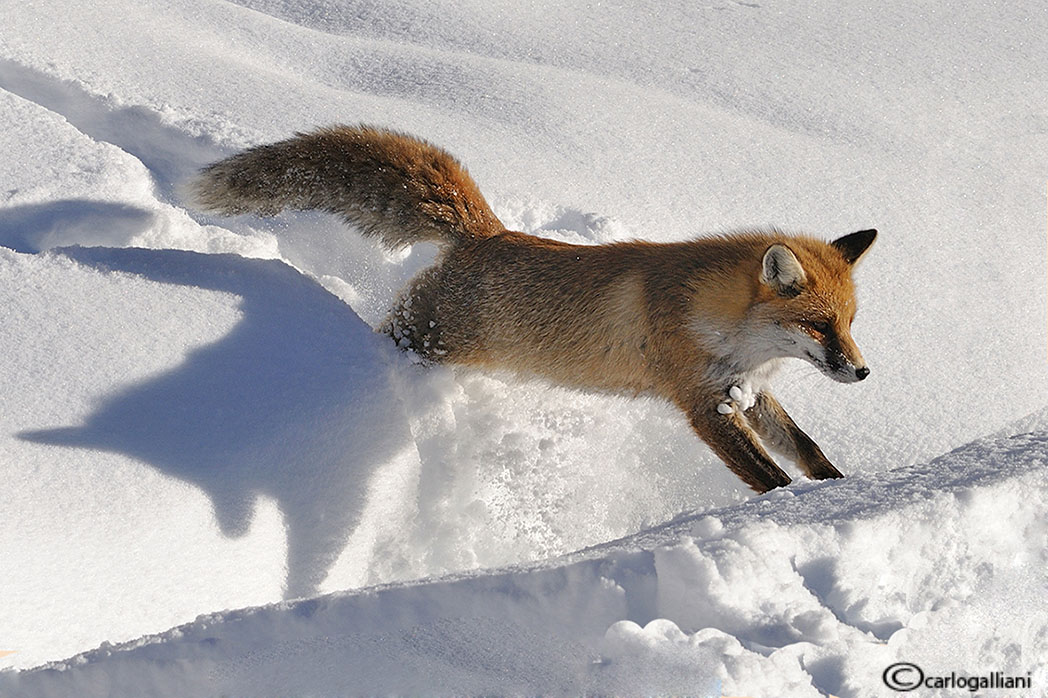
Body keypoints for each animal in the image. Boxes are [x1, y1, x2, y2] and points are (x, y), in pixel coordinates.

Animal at [190, 126, 876, 494]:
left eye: (848, 324)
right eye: (818, 325)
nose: (863, 372)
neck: (722, 325)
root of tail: (486, 234)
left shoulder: (747, 391)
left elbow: (807, 449)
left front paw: (846, 489)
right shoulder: (702, 401)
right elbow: (771, 476)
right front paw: (796, 514)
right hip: (423, 342)